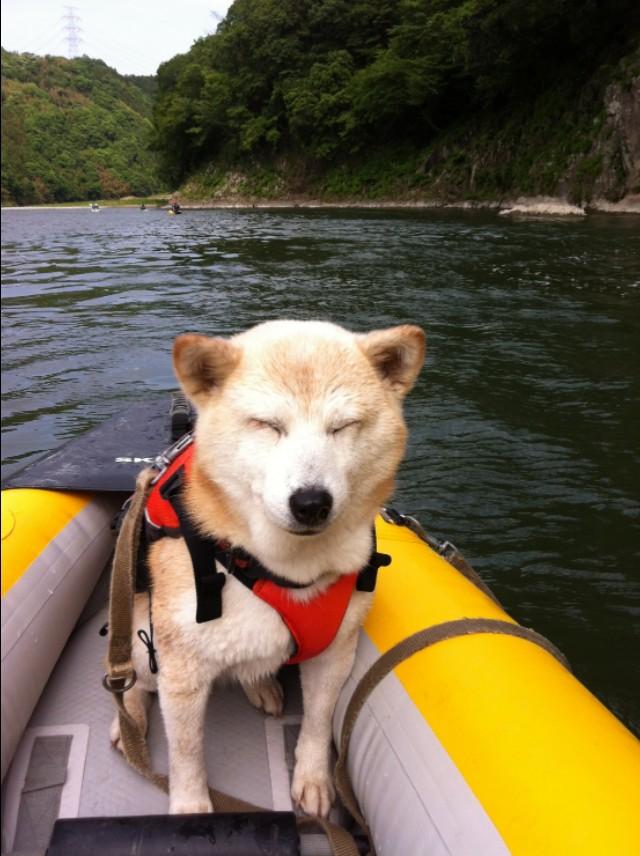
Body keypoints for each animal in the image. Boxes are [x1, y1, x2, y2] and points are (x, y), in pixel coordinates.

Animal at [110, 320, 424, 816]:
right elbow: (186, 752)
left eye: (342, 426)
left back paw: (262, 686)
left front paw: (313, 779)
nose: (311, 502)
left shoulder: (336, 650)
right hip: (142, 631)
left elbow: (317, 721)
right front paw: (190, 809)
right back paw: (130, 721)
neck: (282, 568)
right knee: (129, 679)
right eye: (268, 425)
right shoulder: (181, 669)